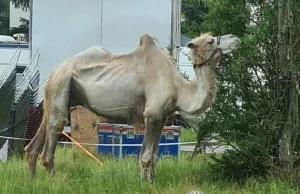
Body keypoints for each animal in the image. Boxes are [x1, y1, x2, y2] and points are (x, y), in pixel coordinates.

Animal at [23, 31, 240, 182]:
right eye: (210, 40)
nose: (235, 38)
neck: (179, 88)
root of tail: (53, 71)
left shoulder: (162, 118)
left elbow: (153, 155)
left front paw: (152, 182)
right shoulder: (152, 114)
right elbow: (145, 157)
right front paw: (145, 184)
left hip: (55, 95)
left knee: (37, 138)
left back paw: (33, 181)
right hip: (61, 84)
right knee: (53, 133)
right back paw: (54, 181)